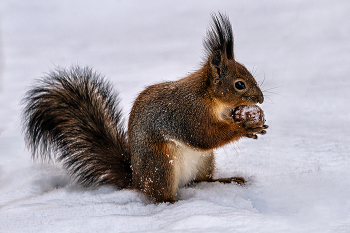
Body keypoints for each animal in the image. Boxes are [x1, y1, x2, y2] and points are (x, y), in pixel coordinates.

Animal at [21, 12, 268, 203]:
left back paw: (227, 180)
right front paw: (245, 127)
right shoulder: (188, 112)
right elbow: (203, 135)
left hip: (204, 161)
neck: (211, 99)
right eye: (239, 84)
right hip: (161, 164)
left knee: (201, 180)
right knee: (160, 196)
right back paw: (177, 203)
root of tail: (137, 180)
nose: (261, 99)